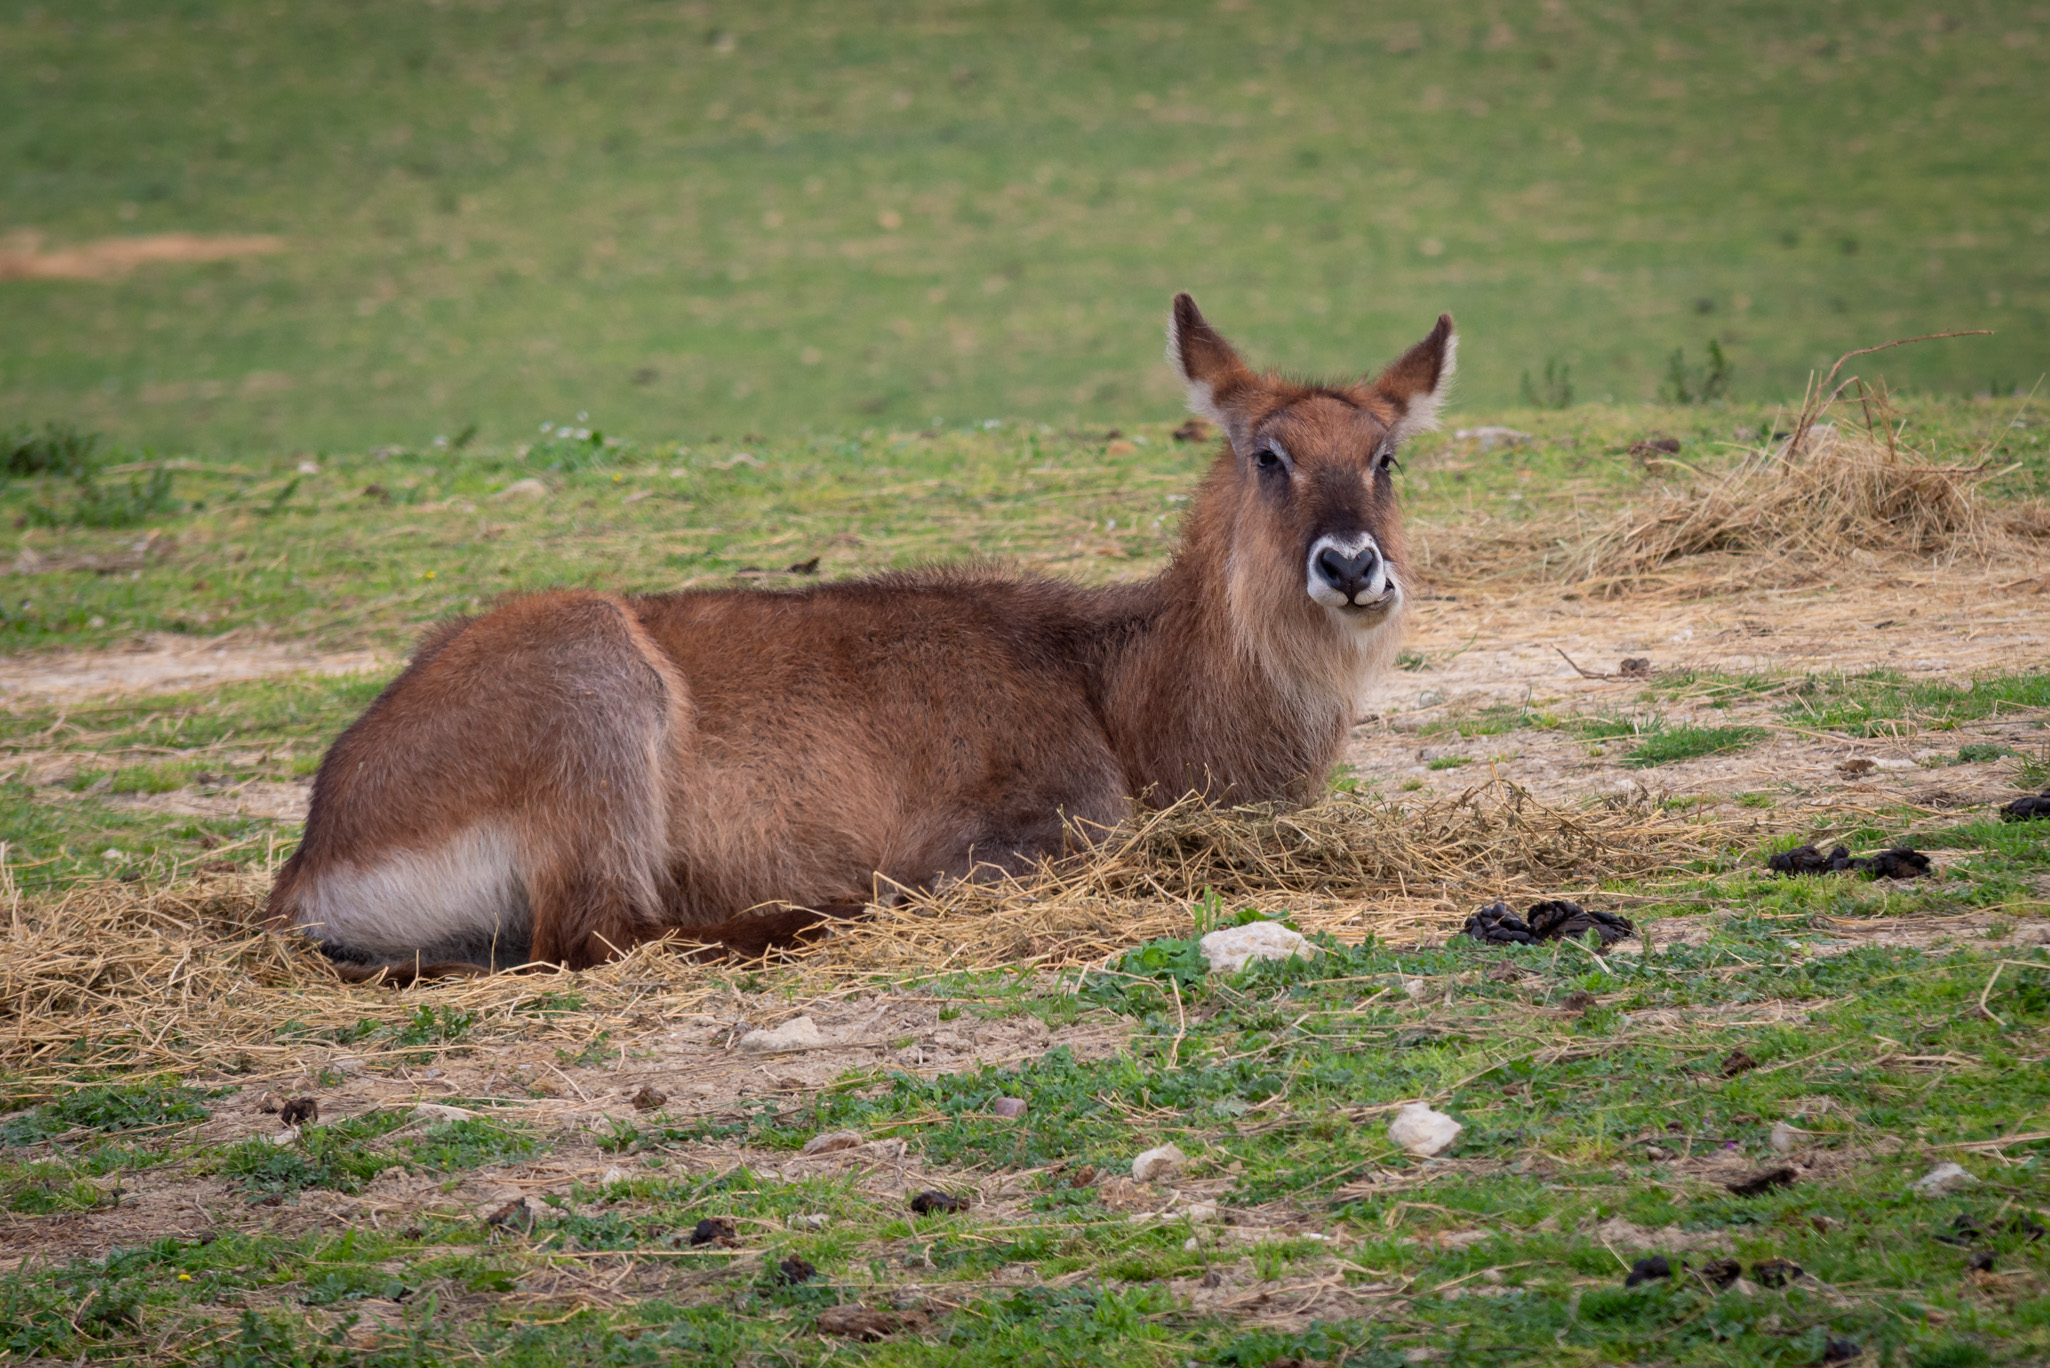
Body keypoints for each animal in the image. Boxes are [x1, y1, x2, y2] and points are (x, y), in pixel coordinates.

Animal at [268, 295, 1453, 980]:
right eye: (1267, 454)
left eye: (1384, 456)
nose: (1352, 566)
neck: (1118, 689)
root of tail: (314, 855)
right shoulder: (1031, 831)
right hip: (591, 677)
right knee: (593, 936)